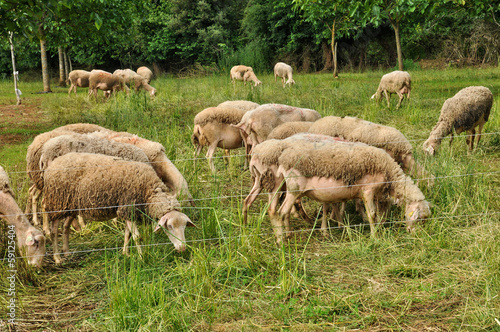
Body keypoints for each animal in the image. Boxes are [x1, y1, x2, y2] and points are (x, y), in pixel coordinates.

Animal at [43, 152, 195, 264]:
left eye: (184, 226)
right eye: (169, 226)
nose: (182, 248)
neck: (149, 191)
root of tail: (54, 162)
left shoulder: (128, 211)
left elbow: (128, 234)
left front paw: (125, 253)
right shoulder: (128, 207)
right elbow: (137, 237)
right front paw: (142, 258)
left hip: (71, 205)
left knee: (66, 226)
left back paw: (67, 251)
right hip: (56, 202)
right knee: (54, 230)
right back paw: (57, 258)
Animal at [272, 141, 432, 243]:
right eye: (420, 219)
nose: (414, 235)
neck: (389, 172)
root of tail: (283, 158)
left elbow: (379, 214)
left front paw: (378, 228)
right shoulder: (368, 190)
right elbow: (372, 214)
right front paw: (374, 236)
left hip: (289, 189)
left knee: (284, 212)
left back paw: (288, 234)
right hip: (294, 188)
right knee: (281, 212)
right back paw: (282, 240)